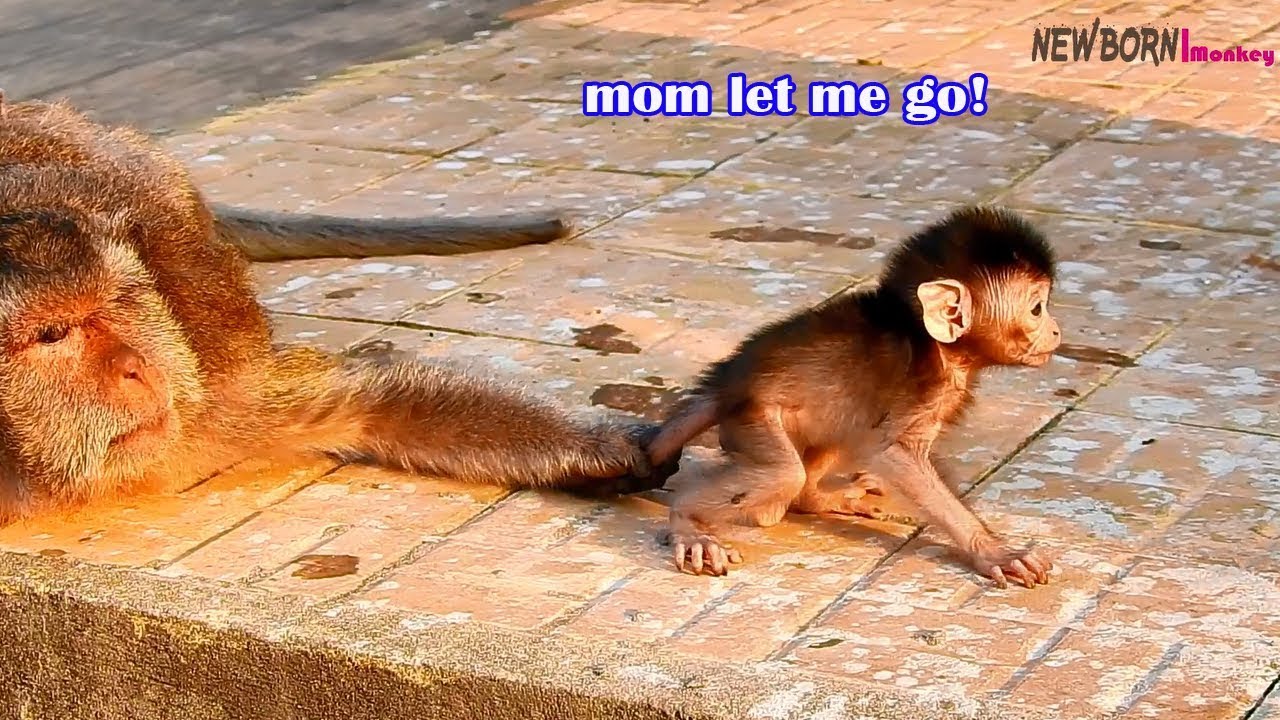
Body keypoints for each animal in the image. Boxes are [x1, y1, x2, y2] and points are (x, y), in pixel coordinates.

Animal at [0, 95, 678, 524]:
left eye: (121, 303)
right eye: (54, 333)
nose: (139, 368)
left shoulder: (218, 401)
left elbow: (376, 407)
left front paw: (607, 448)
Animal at [644, 205, 1061, 590]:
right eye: (1036, 308)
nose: (1056, 330)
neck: (936, 346)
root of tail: (728, 380)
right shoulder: (920, 392)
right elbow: (897, 457)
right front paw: (992, 550)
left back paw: (814, 498)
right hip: (751, 417)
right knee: (784, 473)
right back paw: (689, 521)